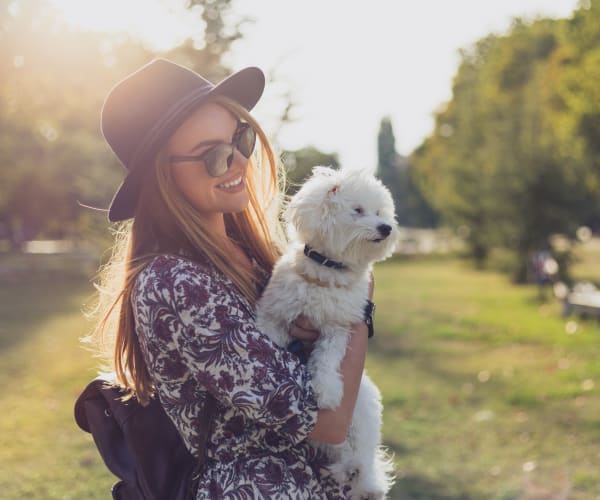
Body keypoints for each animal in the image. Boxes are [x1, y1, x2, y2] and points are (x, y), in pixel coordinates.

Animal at [255, 166, 396, 498]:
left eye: (380, 212)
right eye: (358, 210)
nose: (386, 227)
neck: (328, 270)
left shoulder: (338, 328)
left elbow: (327, 360)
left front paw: (327, 390)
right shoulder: (275, 313)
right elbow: (268, 334)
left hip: (361, 410)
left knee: (361, 452)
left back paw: (359, 475)